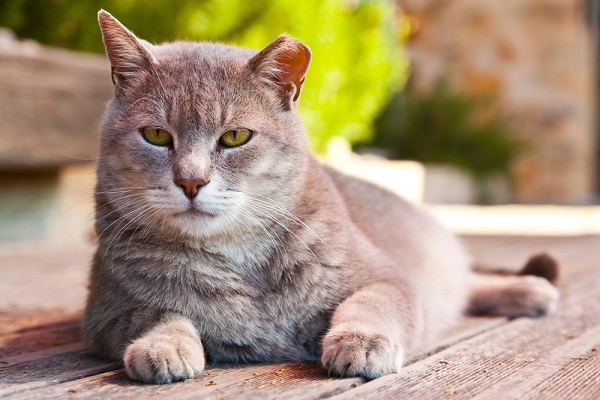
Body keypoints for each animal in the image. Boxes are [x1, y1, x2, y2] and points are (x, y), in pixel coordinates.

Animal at [82, 10, 560, 384]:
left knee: (466, 279)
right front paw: (164, 346)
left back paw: (530, 290)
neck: (237, 257)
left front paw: (361, 341)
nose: (191, 182)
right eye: (156, 135)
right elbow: (159, 312)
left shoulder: (387, 278)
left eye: (234, 137)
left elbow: (370, 303)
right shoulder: (105, 313)